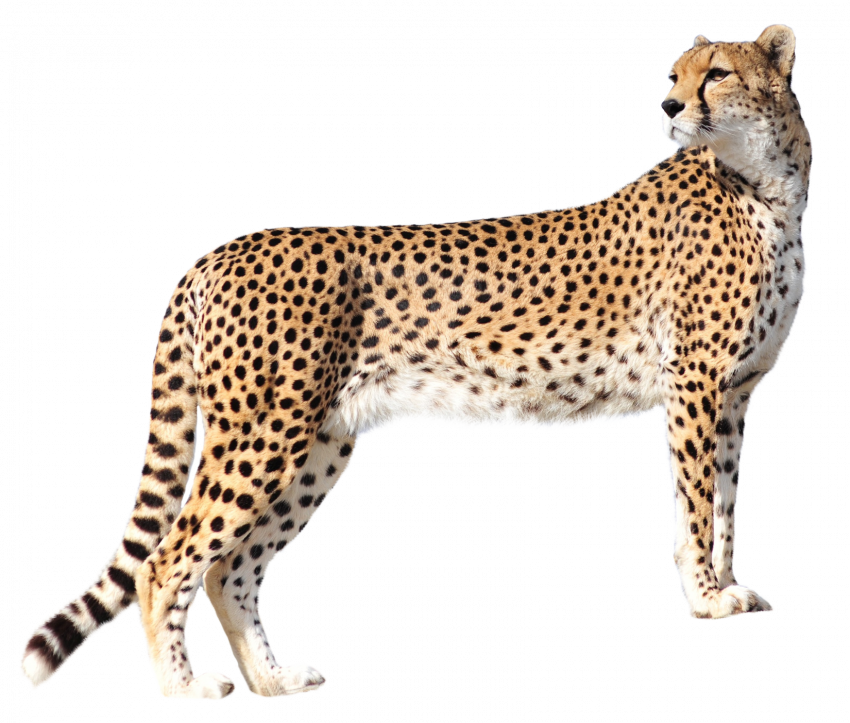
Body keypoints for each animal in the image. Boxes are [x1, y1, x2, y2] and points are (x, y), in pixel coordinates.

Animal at [20, 24, 811, 700]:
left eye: (716, 72)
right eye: (674, 76)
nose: (669, 105)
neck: (768, 182)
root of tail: (220, 248)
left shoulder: (734, 392)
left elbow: (725, 502)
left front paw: (729, 587)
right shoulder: (697, 383)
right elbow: (700, 506)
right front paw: (706, 597)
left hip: (318, 443)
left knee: (228, 568)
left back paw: (272, 680)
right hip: (264, 433)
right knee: (167, 560)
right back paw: (184, 688)